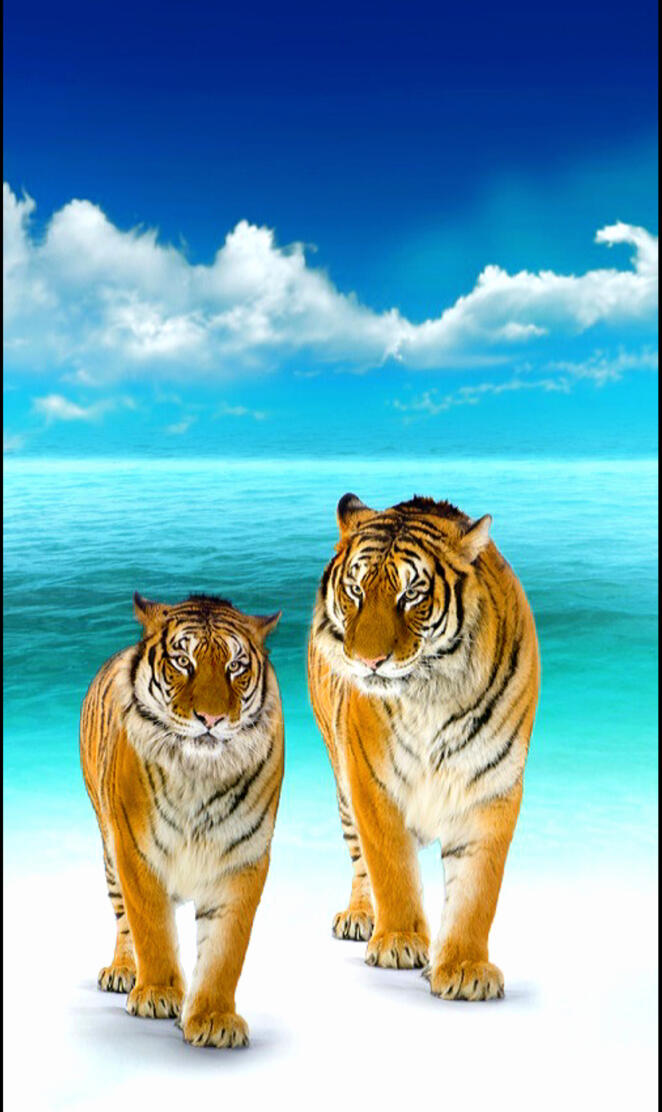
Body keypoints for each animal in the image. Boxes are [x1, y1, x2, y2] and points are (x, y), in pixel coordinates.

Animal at [80, 592, 283, 1047]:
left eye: (235, 666)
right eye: (183, 662)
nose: (211, 719)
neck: (199, 776)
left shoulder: (242, 860)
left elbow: (225, 950)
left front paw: (213, 1017)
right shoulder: (137, 853)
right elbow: (151, 928)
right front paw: (157, 995)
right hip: (108, 849)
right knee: (123, 920)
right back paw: (123, 972)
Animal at [308, 493, 540, 1001]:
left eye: (411, 594)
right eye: (355, 590)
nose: (368, 661)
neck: (433, 693)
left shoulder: (490, 787)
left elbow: (476, 891)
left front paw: (465, 967)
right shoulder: (372, 783)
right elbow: (390, 867)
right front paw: (398, 941)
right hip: (342, 783)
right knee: (360, 861)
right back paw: (359, 917)